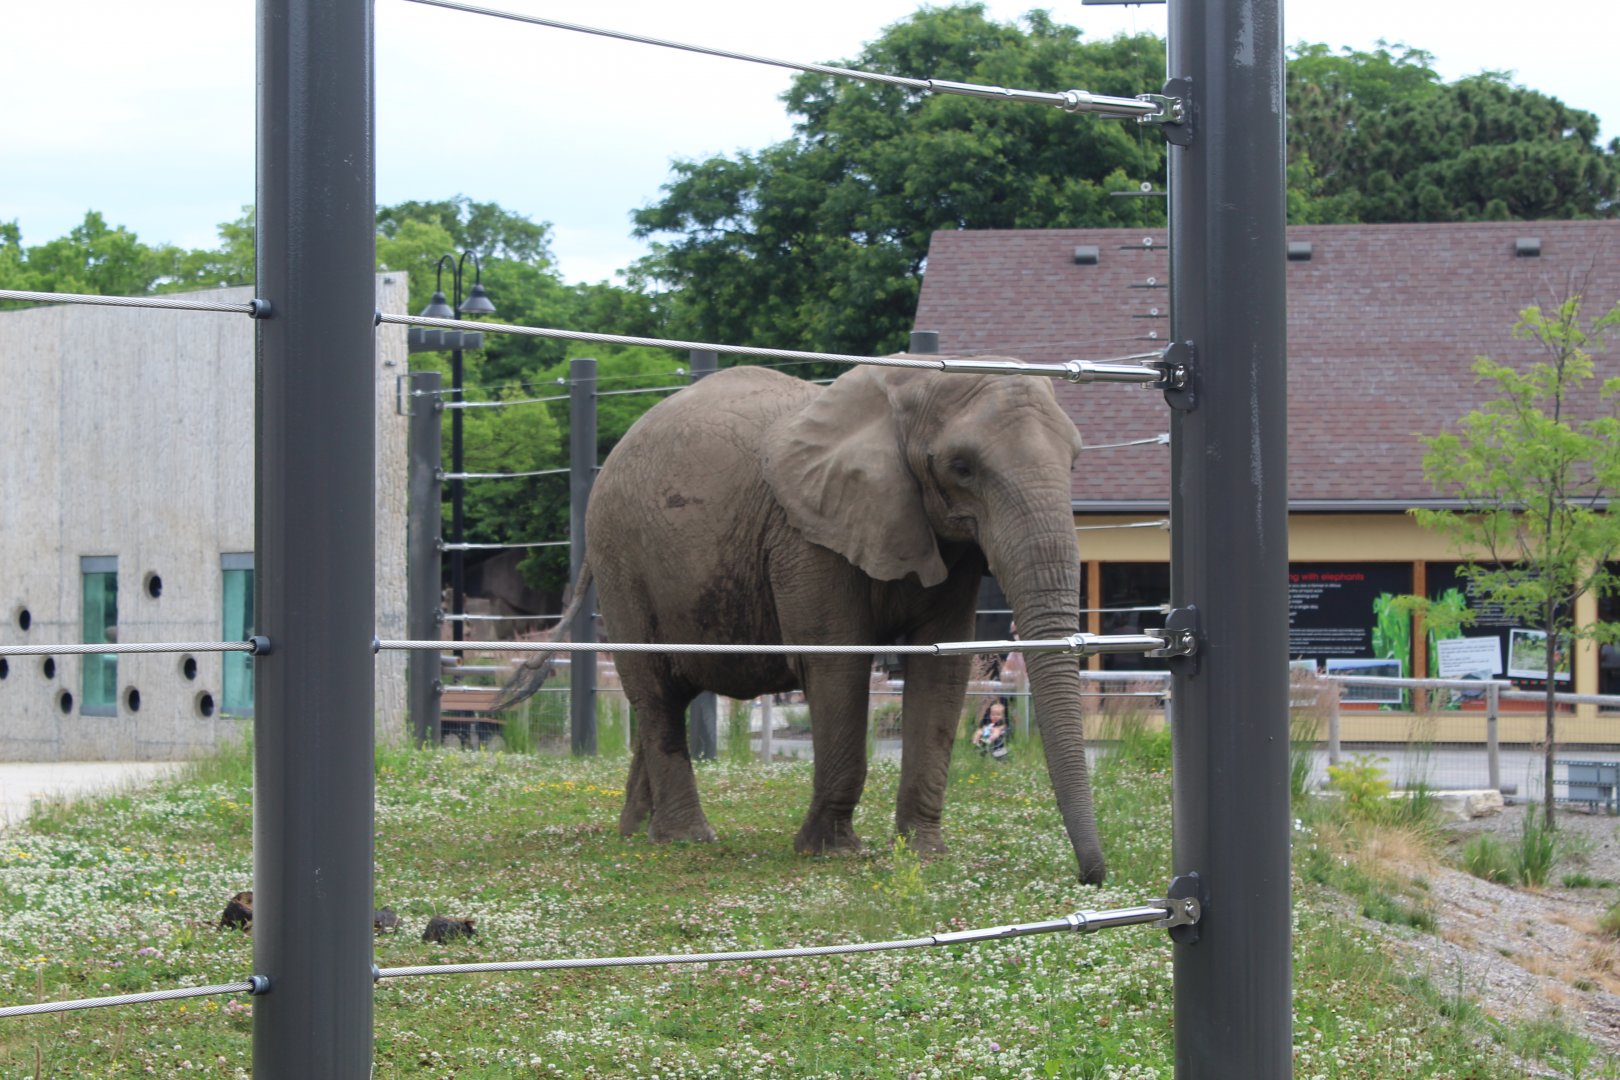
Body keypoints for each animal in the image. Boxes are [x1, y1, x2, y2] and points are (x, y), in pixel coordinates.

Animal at [497, 360, 1106, 884]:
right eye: (962, 468)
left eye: (1076, 463)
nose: (1091, 877)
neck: (909, 389)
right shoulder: (807, 536)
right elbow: (837, 663)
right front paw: (831, 851)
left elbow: (942, 673)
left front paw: (922, 852)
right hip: (622, 559)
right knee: (656, 696)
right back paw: (687, 839)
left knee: (668, 697)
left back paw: (636, 832)